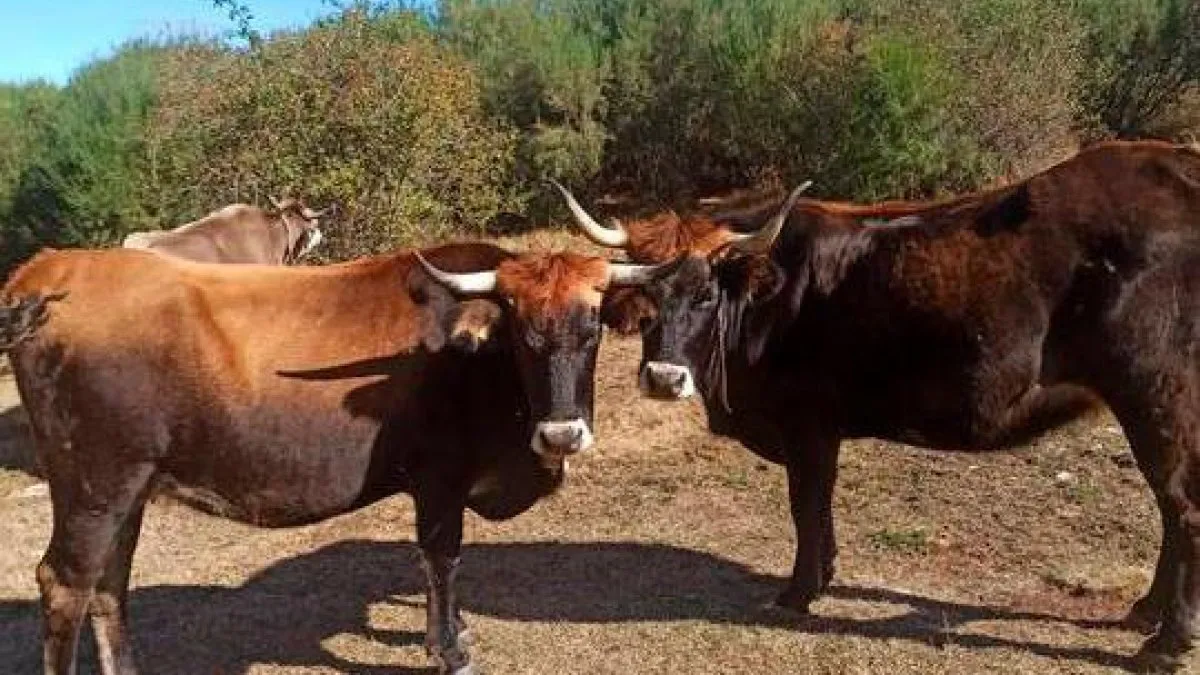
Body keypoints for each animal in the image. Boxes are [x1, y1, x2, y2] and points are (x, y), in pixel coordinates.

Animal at [0, 242, 666, 675]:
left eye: (592, 327)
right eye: (522, 331)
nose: (562, 435)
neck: (473, 359)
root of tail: (53, 267)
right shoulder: (439, 479)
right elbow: (442, 558)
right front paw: (449, 651)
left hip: (128, 490)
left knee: (109, 584)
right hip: (96, 486)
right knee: (66, 583)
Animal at [553, 140, 1200, 671]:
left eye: (707, 293)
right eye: (647, 297)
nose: (664, 379)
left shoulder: (808, 425)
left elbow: (807, 504)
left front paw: (798, 592)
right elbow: (819, 507)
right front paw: (825, 576)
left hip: (1154, 395)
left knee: (1183, 507)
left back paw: (1165, 643)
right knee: (1171, 509)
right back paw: (1146, 611)